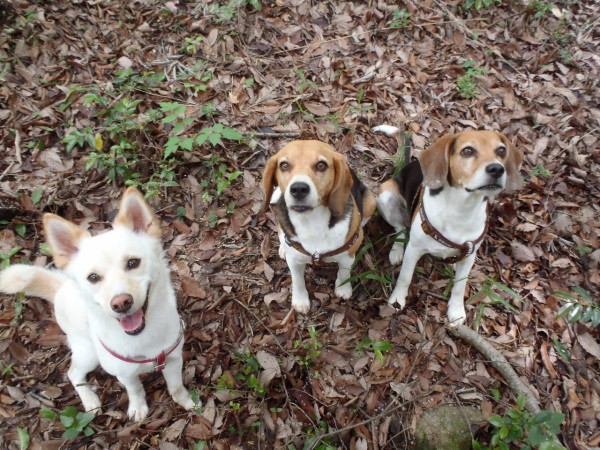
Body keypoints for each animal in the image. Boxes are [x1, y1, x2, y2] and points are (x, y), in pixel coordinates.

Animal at [0, 188, 196, 420]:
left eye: (133, 262)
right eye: (93, 277)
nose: (121, 303)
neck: (143, 338)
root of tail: (61, 286)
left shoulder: (173, 359)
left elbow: (176, 387)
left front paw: (187, 402)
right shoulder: (124, 374)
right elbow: (135, 390)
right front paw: (138, 407)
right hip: (88, 353)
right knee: (73, 373)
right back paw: (90, 400)